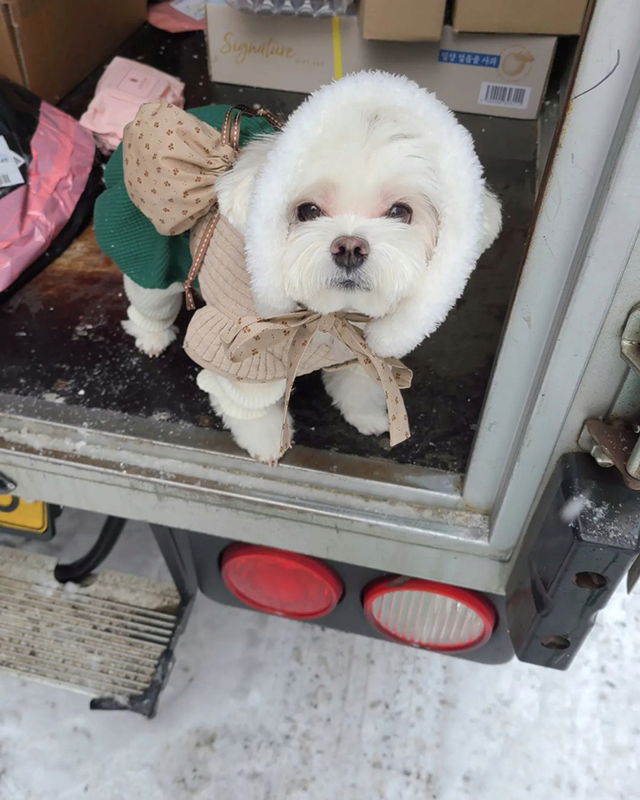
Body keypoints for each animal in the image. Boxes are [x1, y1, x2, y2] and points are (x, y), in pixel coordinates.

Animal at [120, 75, 500, 466]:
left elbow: (358, 383)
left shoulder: (361, 346)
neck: (329, 317)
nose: (349, 247)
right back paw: (151, 336)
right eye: (308, 211)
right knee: (149, 298)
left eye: (400, 212)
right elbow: (250, 407)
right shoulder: (238, 350)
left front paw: (365, 415)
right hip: (153, 262)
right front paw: (267, 444)